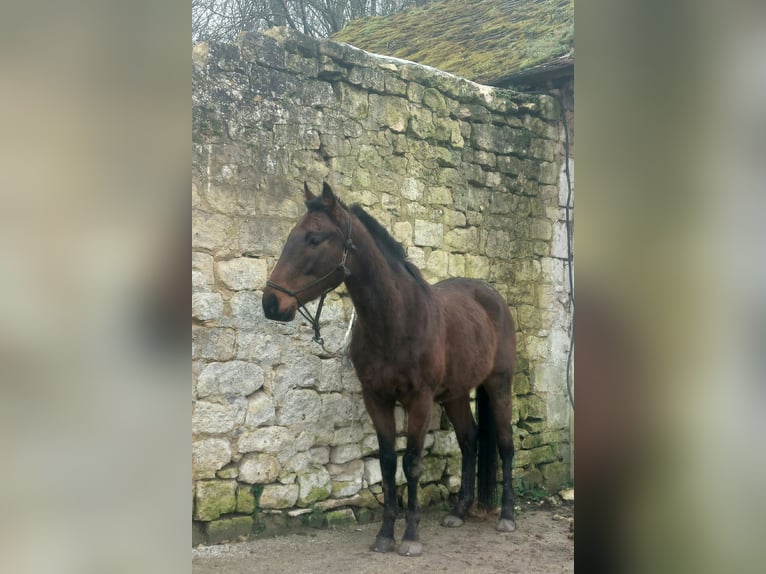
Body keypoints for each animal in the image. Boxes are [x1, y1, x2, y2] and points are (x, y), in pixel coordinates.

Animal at [260, 183, 520, 560]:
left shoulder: (420, 401)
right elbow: (386, 463)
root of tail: (490, 296)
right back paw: (458, 511)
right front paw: (385, 534)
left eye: (314, 238)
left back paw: (508, 516)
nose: (270, 303)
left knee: (504, 443)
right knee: (469, 440)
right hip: (455, 394)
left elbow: (411, 463)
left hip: (499, 385)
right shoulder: (376, 399)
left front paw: (410, 536)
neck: (397, 319)